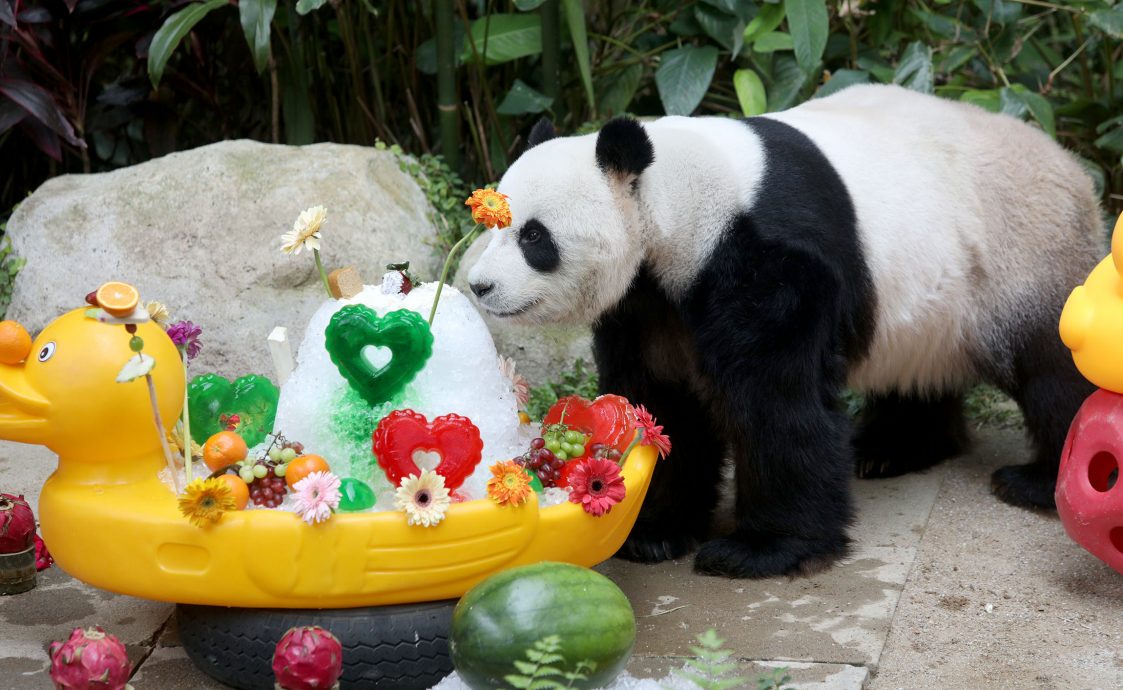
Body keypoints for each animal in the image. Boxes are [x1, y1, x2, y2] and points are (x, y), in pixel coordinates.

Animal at [460, 82, 1100, 579]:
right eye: (492, 226)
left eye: (534, 236)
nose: (480, 286)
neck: (678, 199)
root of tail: (1074, 168)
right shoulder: (650, 303)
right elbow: (664, 404)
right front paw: (654, 530)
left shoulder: (764, 258)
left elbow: (775, 400)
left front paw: (760, 550)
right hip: (936, 304)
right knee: (917, 374)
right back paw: (889, 450)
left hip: (1020, 256)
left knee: (1052, 368)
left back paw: (1036, 480)